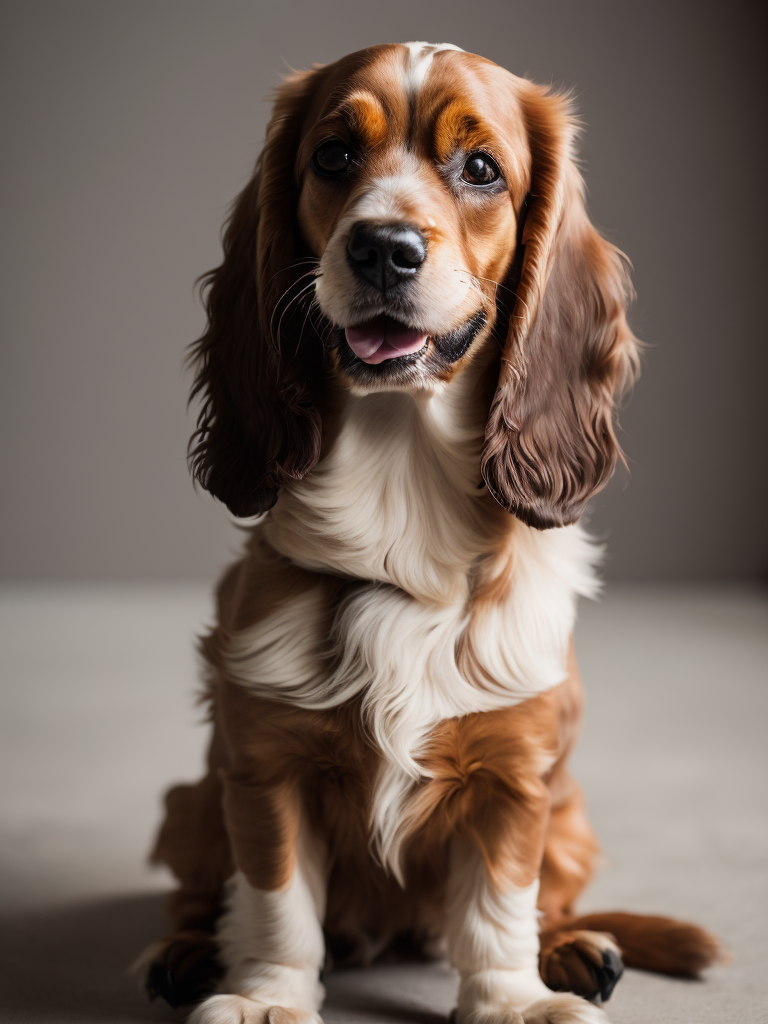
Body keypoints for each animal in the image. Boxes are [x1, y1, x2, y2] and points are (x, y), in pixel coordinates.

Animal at [140, 41, 729, 1024]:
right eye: (333, 155)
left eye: (481, 168)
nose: (384, 247)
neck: (400, 495)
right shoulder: (262, 766)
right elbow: (275, 900)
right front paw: (265, 995)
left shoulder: (517, 774)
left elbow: (498, 904)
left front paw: (513, 999)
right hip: (190, 802)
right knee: (200, 894)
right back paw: (186, 951)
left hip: (573, 817)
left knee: (552, 903)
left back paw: (575, 948)